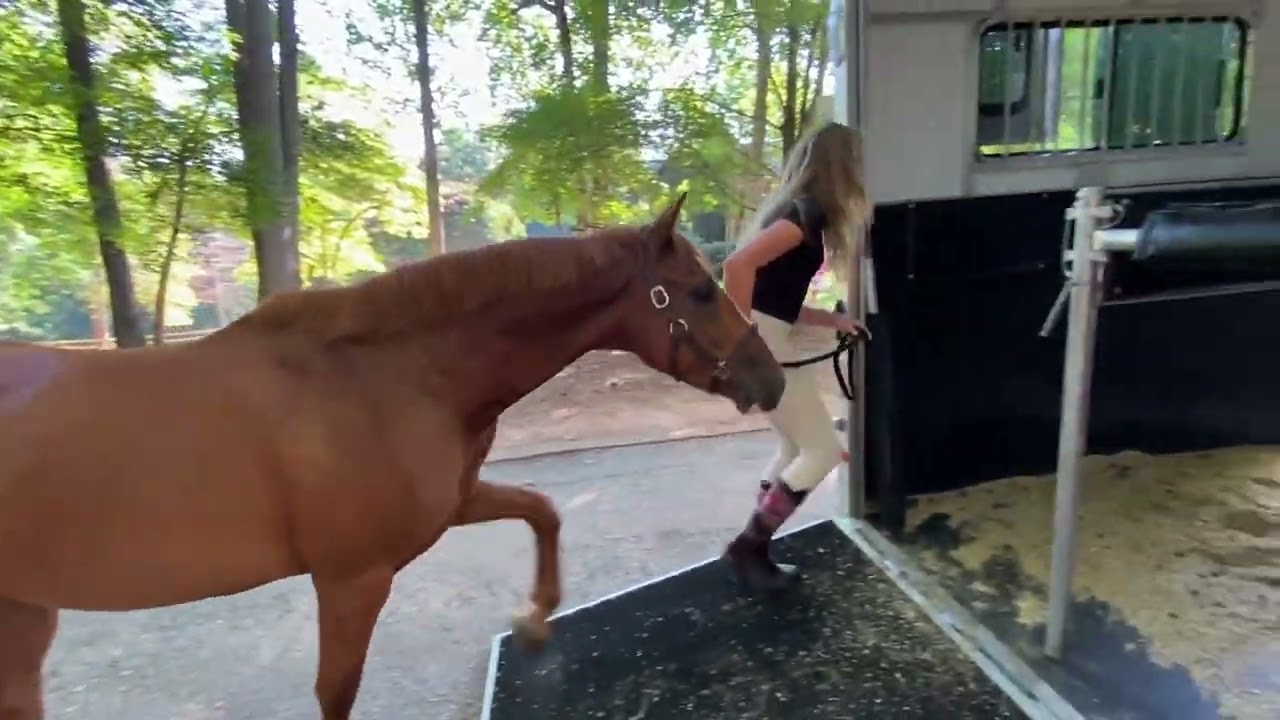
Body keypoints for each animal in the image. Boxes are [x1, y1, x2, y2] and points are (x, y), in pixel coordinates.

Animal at [0, 194, 786, 720]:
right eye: (700, 290)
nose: (772, 379)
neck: (388, 378)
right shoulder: (352, 581)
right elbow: (336, 691)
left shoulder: (454, 505)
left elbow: (542, 510)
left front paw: (534, 620)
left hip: (26, 613)